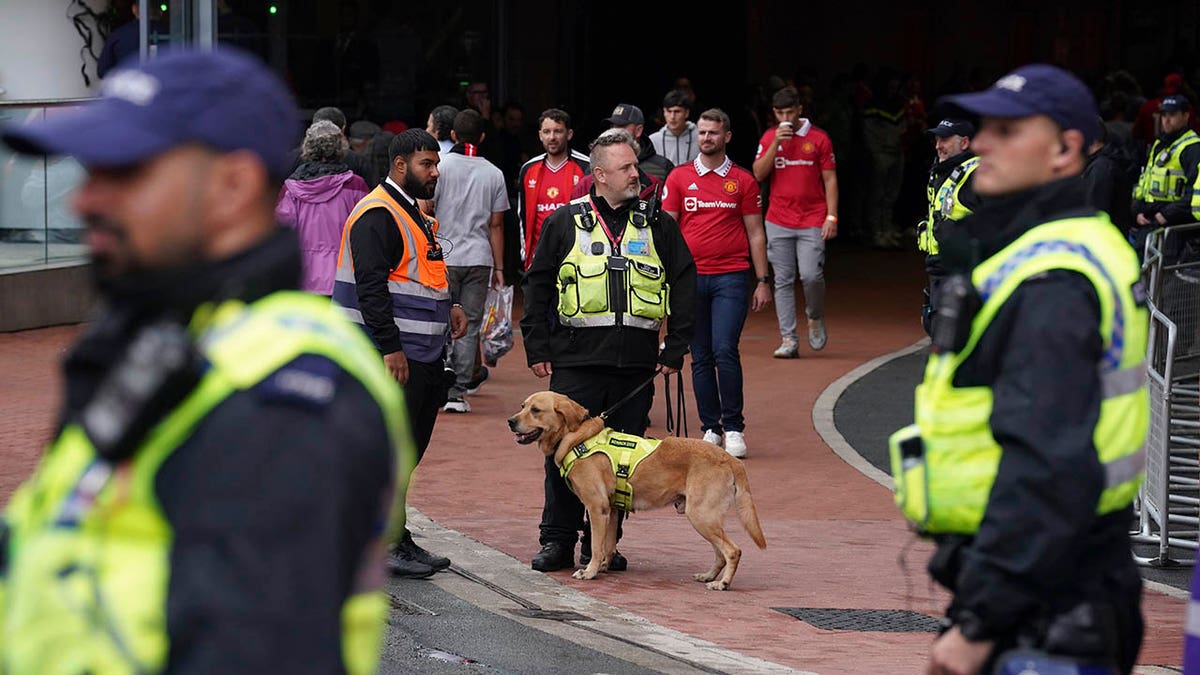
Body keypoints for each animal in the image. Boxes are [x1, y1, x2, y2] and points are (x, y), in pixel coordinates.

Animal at [508, 389, 768, 588]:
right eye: (522, 406)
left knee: (732, 551)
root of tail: (730, 459)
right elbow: (608, 545)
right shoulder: (612, 509)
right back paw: (709, 576)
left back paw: (722, 583)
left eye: (535, 410)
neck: (578, 438)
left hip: (701, 516)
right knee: (720, 553)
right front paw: (604, 567)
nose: (510, 421)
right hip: (706, 518)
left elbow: (596, 546)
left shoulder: (597, 508)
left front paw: (590, 572)